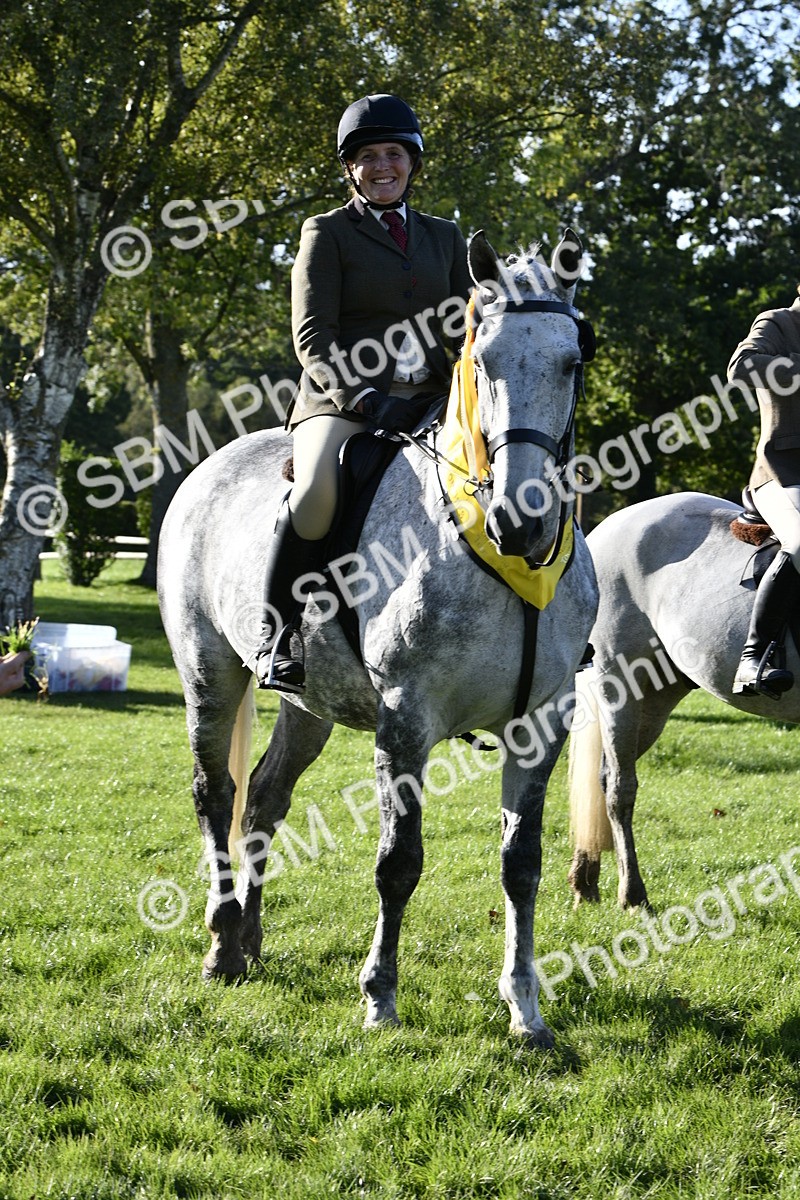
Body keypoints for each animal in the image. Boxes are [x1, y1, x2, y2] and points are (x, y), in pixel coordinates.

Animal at [157, 229, 599, 1047]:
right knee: (215, 792)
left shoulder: (542, 721)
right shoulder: (406, 719)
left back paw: (251, 939)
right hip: (209, 672)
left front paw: (526, 1008)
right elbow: (399, 862)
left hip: (310, 704)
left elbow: (521, 863)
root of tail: (211, 465)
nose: (521, 522)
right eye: (482, 362)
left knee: (264, 798)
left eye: (572, 361)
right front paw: (380, 996)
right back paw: (221, 943)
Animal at [567, 490, 800, 911]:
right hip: (619, 685)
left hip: (656, 698)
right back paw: (632, 896)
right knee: (619, 788)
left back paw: (585, 883)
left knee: (602, 777)